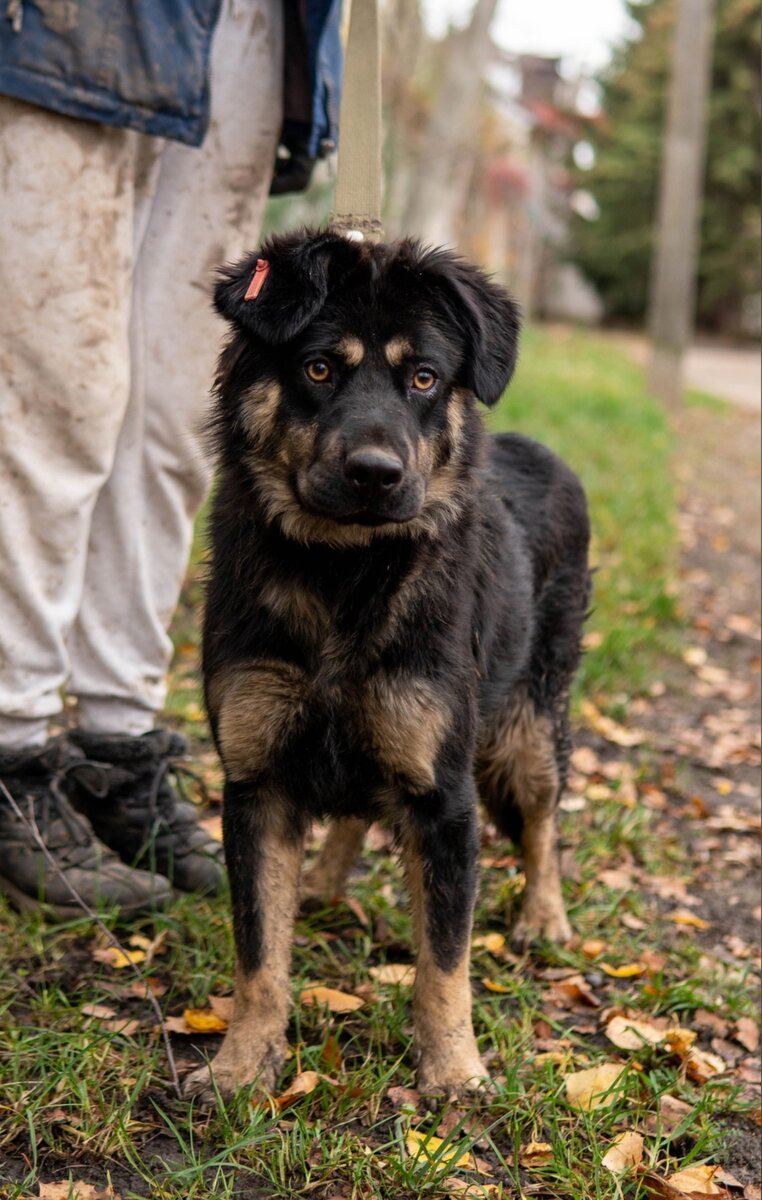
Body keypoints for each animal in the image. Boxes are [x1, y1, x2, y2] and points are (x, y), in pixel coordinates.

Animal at [183, 229, 590, 1099]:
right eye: (318, 368)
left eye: (424, 378)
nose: (377, 474)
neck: (345, 573)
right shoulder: (256, 781)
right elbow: (259, 953)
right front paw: (243, 1065)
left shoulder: (445, 795)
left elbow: (444, 958)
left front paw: (454, 1073)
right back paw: (324, 885)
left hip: (530, 723)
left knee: (542, 818)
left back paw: (544, 916)